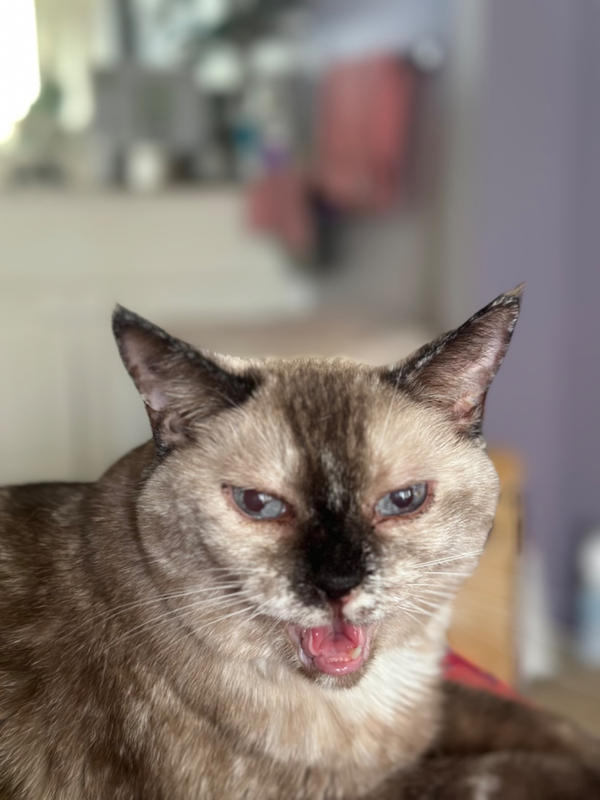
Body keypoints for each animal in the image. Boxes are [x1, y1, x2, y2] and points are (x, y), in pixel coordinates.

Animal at [0, 290, 596, 800]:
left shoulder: (439, 715)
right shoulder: (381, 787)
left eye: (403, 500)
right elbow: (504, 772)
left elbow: (533, 721)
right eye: (259, 505)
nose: (338, 584)